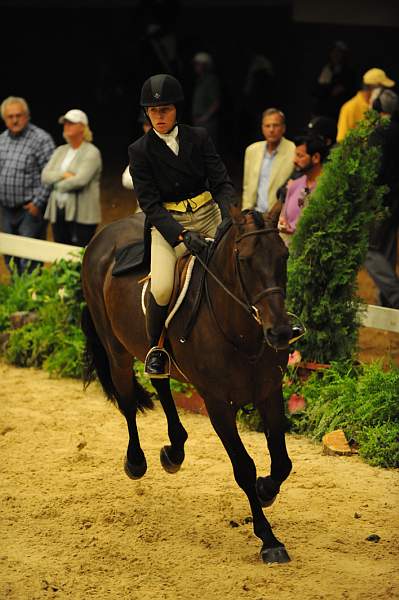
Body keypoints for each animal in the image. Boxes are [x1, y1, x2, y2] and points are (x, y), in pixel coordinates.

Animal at [79, 206, 296, 564]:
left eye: (284, 255)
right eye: (245, 260)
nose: (279, 332)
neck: (242, 334)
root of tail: (105, 232)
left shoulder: (269, 393)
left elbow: (281, 462)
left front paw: (266, 490)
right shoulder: (218, 405)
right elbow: (244, 468)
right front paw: (269, 540)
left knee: (161, 382)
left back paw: (175, 449)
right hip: (116, 350)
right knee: (127, 401)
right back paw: (136, 461)